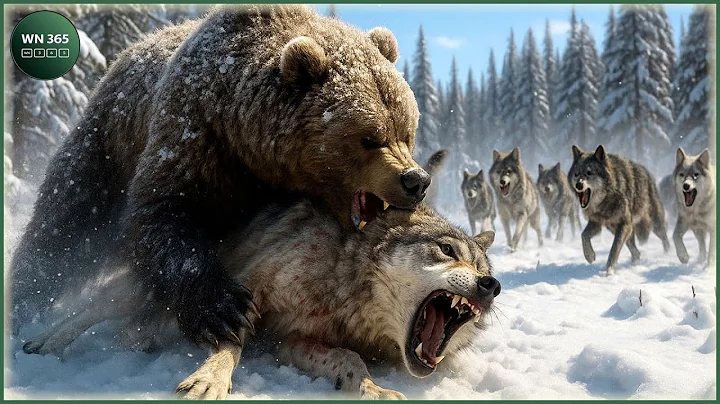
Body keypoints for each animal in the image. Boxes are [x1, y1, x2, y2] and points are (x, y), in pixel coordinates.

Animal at [10, 5, 429, 347]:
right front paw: (225, 309)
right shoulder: (197, 133)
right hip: (107, 143)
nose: (416, 180)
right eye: (369, 137)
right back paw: (24, 303)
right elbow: (165, 210)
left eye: (407, 131)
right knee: (66, 222)